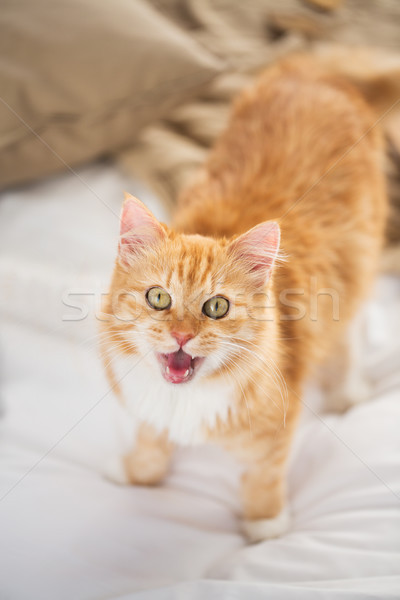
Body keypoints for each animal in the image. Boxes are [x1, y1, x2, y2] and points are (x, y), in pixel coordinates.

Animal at [101, 56, 388, 540]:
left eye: (216, 307)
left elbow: (263, 477)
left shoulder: (276, 429)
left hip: (358, 258)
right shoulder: (147, 409)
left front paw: (265, 525)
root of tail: (317, 71)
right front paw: (139, 472)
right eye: (158, 298)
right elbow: (150, 439)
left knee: (350, 329)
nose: (181, 336)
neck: (185, 400)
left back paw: (347, 391)